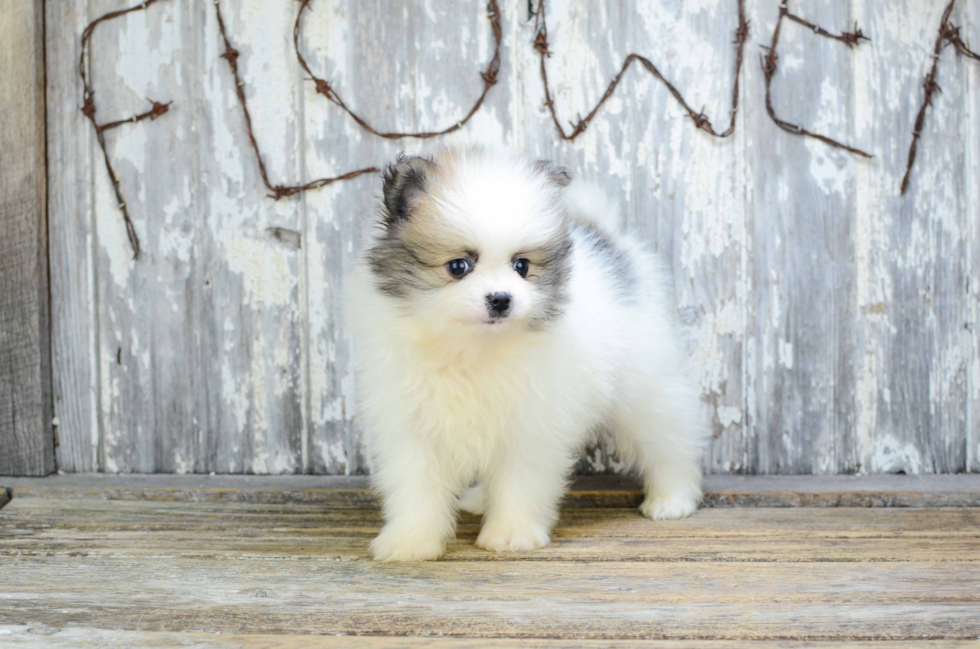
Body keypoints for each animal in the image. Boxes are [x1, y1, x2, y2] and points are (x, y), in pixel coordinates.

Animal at [348, 144, 708, 560]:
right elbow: (415, 487)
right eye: (459, 266)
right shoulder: (410, 424)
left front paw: (511, 534)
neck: (471, 347)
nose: (501, 299)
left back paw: (672, 498)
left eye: (521, 265)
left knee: (668, 437)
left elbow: (520, 481)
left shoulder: (532, 421)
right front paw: (409, 542)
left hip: (643, 384)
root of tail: (610, 243)